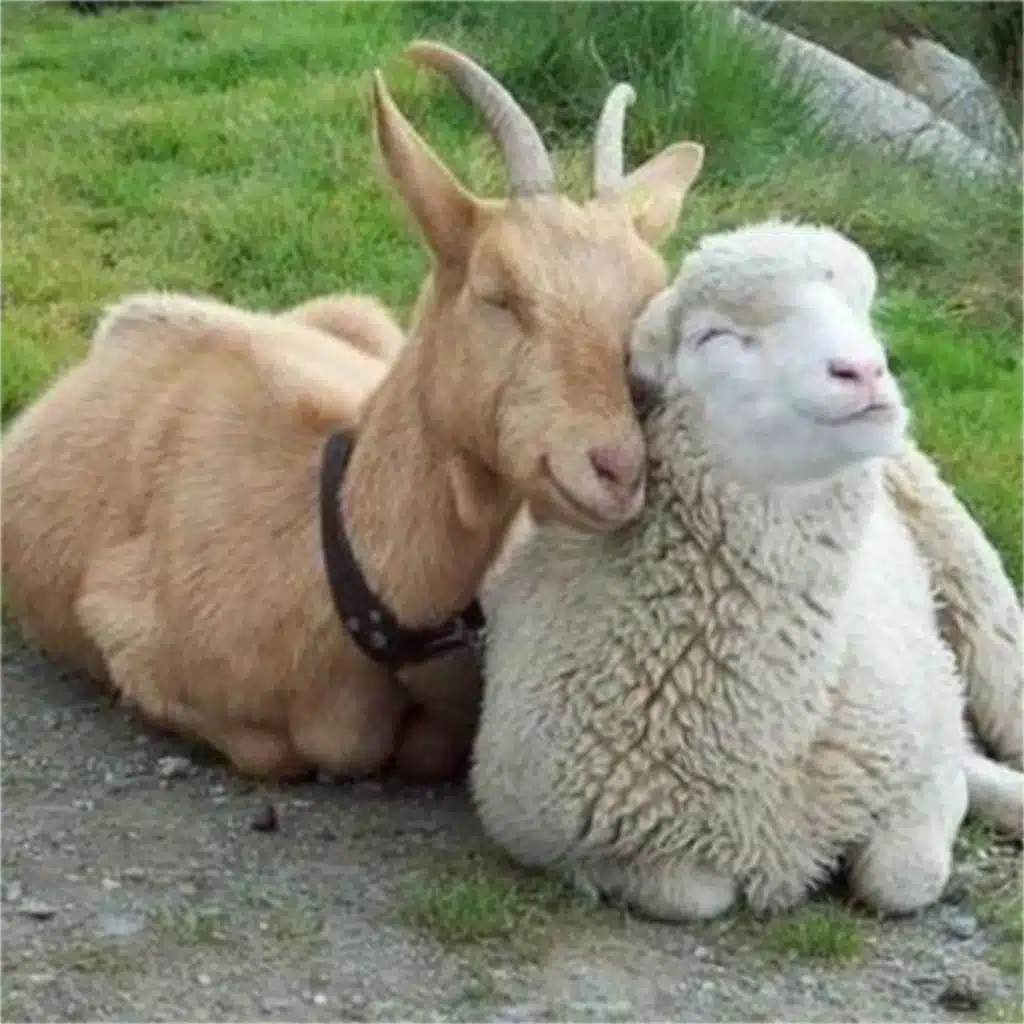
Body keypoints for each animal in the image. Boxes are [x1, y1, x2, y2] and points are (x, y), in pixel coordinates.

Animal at [1, 41, 705, 783]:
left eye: (649, 301)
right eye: (499, 292)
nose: (617, 470)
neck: (328, 560)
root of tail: (126, 317)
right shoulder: (123, 632)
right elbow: (280, 751)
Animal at [473, 220, 1023, 923]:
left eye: (862, 308)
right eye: (714, 337)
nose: (864, 371)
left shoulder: (923, 760)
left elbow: (904, 876)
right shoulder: (556, 831)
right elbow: (693, 893)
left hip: (967, 567)